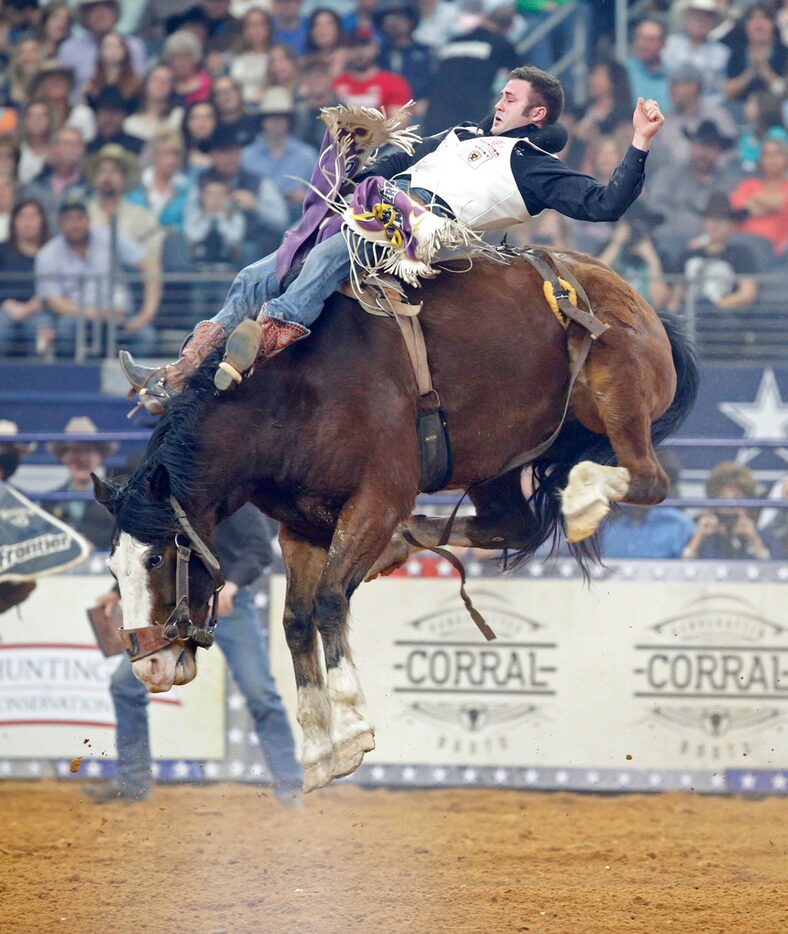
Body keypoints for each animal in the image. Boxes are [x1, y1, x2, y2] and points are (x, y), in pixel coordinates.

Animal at [91, 252, 696, 792]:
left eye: (157, 557)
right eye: (113, 570)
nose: (148, 667)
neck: (292, 392)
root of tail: (643, 306)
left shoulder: (378, 496)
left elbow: (329, 601)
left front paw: (353, 728)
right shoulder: (302, 524)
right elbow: (295, 620)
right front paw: (319, 750)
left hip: (618, 391)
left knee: (647, 480)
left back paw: (584, 498)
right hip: (499, 456)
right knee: (513, 523)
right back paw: (401, 545)